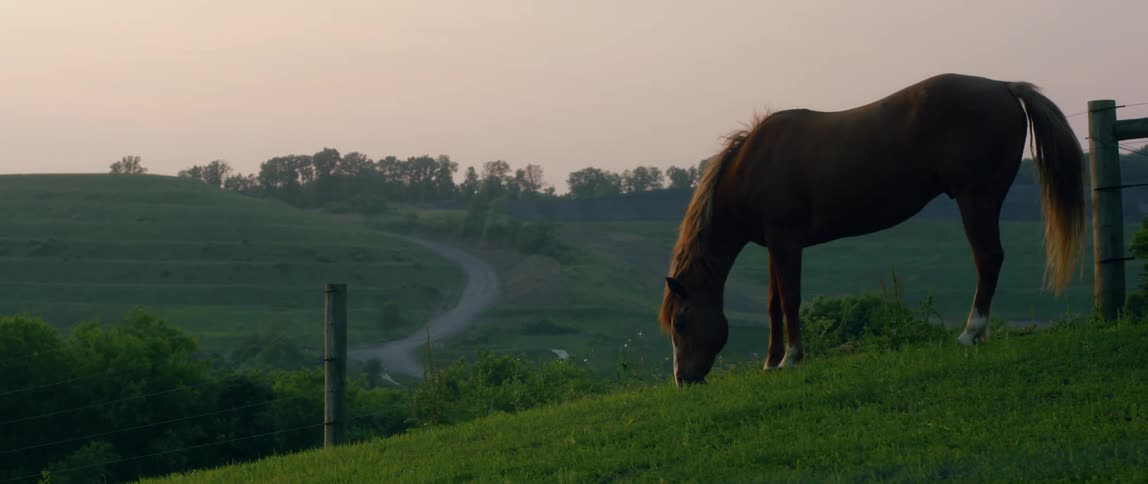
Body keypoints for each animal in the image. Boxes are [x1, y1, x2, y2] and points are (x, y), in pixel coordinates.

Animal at [659, 73, 1085, 386]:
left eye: (680, 322)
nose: (684, 380)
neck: (751, 167)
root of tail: (1003, 86)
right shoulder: (773, 245)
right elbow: (774, 304)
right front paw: (770, 362)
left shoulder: (786, 241)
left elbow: (791, 300)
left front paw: (791, 359)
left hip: (976, 199)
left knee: (988, 259)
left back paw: (970, 332)